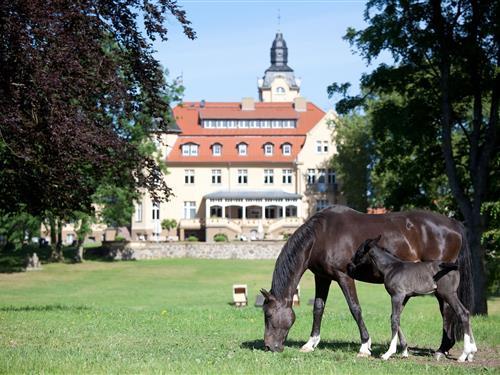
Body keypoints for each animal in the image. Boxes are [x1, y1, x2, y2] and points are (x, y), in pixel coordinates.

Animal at [262, 209, 472, 358]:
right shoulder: (322, 277)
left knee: (447, 310)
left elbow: (355, 308)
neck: (322, 234)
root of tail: (453, 223)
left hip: (441, 287)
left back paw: (442, 349)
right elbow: (318, 308)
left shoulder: (344, 277)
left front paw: (365, 345)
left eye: (268, 314)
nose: (269, 346)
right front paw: (310, 343)